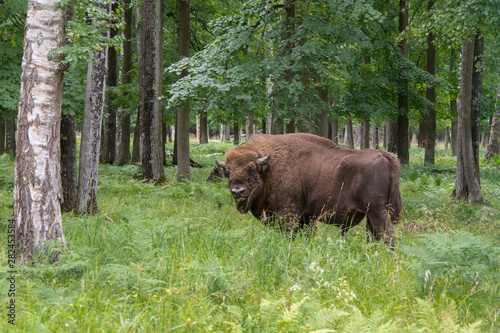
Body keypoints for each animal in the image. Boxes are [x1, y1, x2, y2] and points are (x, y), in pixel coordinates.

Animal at [215, 132, 402, 244]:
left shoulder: (288, 214)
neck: (269, 168)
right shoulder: (307, 218)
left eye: (253, 169)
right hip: (371, 214)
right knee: (374, 237)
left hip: (378, 211)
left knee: (388, 236)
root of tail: (386, 155)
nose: (238, 191)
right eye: (228, 171)